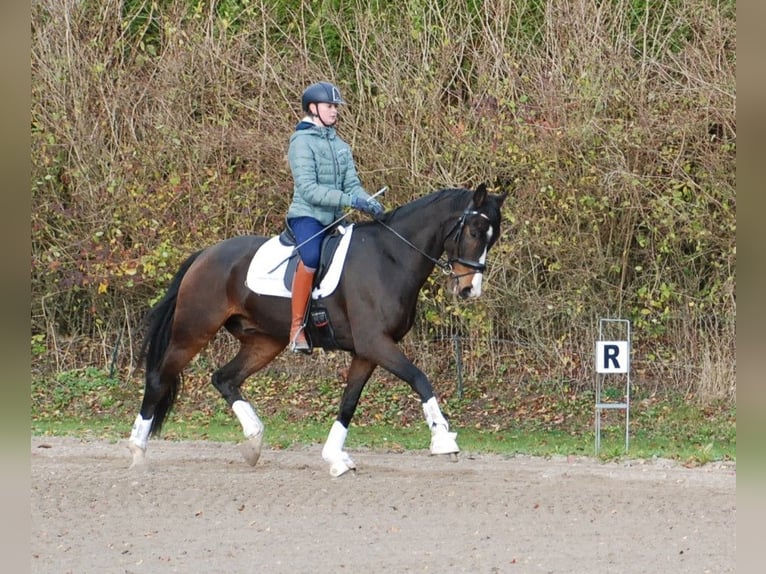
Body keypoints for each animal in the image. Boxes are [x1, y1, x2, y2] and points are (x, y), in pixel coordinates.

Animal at [129, 184, 508, 476]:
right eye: (475, 232)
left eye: (493, 237)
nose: (469, 290)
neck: (390, 257)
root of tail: (206, 253)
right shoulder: (376, 343)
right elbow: (419, 378)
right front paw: (443, 439)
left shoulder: (366, 352)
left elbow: (348, 402)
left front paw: (335, 458)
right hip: (193, 331)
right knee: (159, 380)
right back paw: (138, 451)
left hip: (264, 342)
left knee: (225, 378)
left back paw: (254, 441)